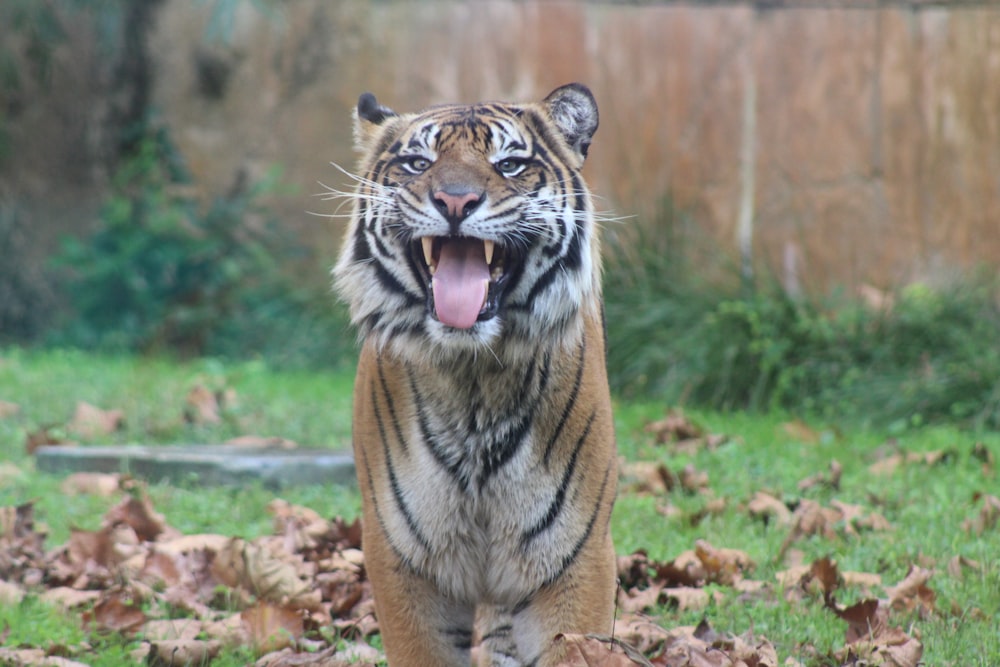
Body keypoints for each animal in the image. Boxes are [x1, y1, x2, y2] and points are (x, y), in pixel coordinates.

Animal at [332, 83, 616, 667]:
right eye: (418, 163)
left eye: (509, 165)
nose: (456, 202)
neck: (474, 381)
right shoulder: (405, 561)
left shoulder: (575, 560)